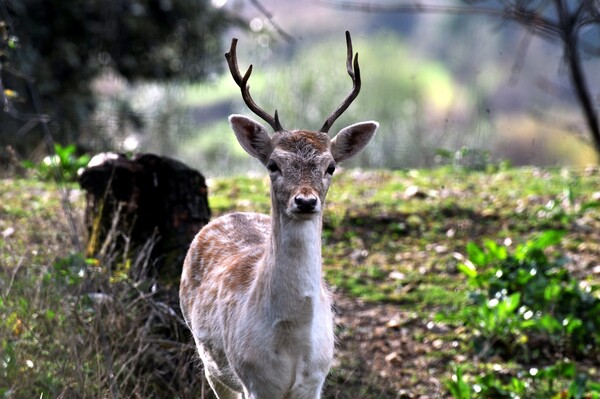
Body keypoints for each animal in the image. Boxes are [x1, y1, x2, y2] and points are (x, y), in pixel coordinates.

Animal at [178, 32, 378, 399]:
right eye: (273, 164)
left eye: (330, 166)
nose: (305, 201)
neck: (290, 341)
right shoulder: (255, 379)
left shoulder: (315, 380)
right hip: (212, 362)